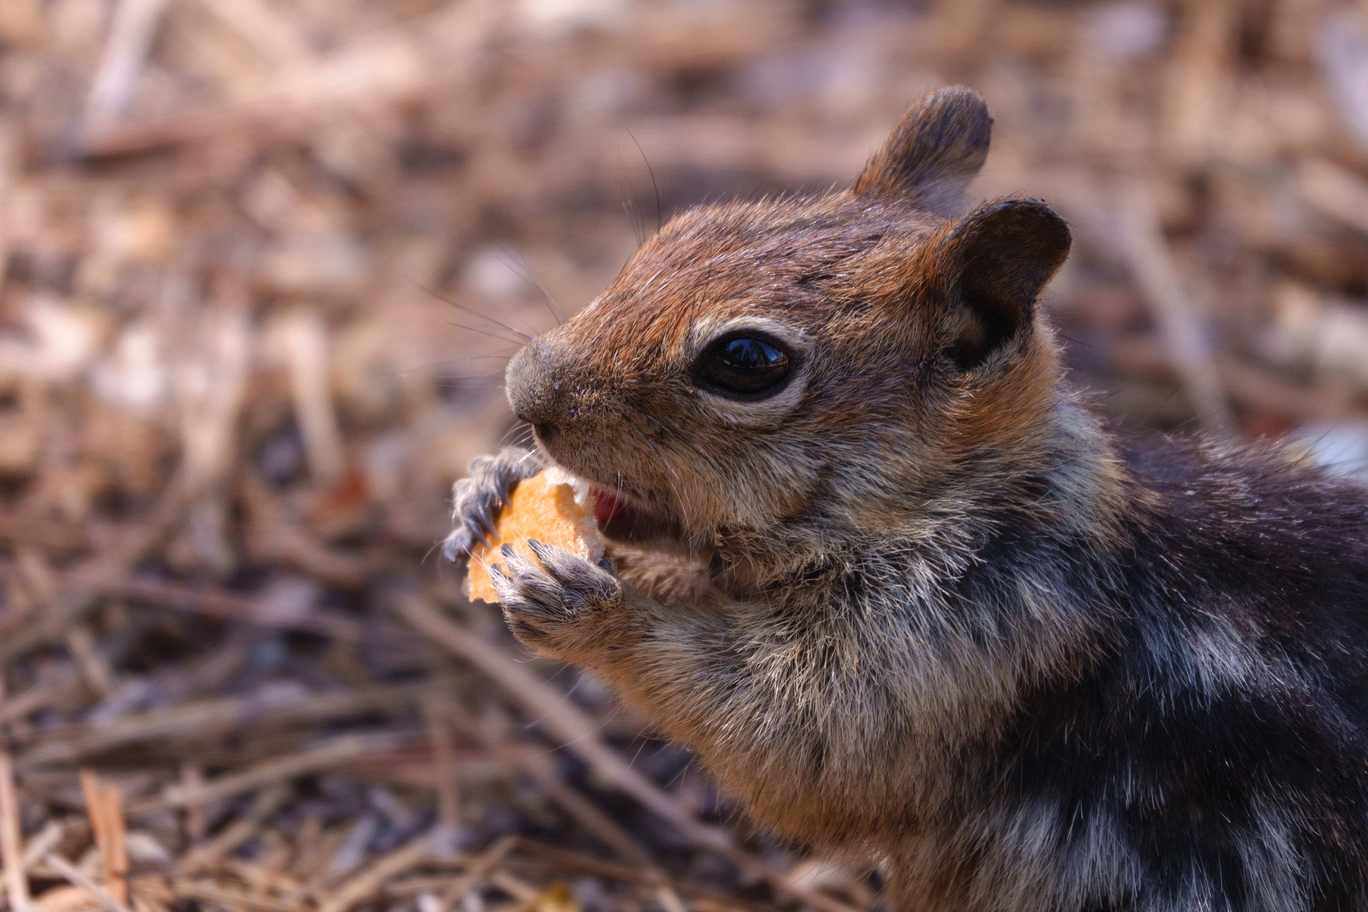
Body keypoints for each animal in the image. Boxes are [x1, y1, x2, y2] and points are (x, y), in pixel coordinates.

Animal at [444, 88, 1368, 912]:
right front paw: (484, 491)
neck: (969, 504)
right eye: (681, 231)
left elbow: (795, 744)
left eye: (747, 361)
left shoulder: (975, 640)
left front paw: (586, 607)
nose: (524, 388)